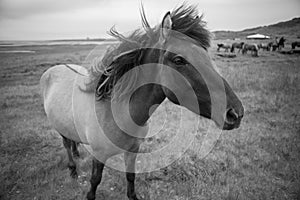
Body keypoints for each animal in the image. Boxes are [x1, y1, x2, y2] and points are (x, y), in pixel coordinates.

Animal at [39, 4, 244, 200]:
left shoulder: (133, 151)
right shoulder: (99, 155)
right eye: (179, 60)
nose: (235, 113)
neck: (115, 111)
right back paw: (72, 169)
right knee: (66, 144)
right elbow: (95, 180)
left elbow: (130, 176)